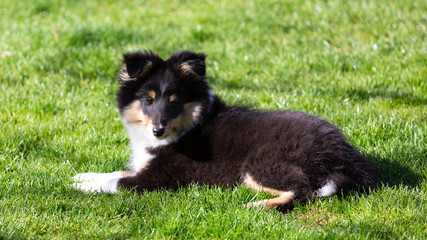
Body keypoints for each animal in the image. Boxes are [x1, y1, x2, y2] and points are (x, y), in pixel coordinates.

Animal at [72, 49, 378, 211]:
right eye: (148, 100)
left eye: (174, 102)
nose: (158, 131)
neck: (188, 125)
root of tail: (347, 157)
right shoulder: (144, 165)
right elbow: (116, 172)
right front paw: (83, 175)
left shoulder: (157, 179)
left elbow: (117, 182)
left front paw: (82, 186)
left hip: (259, 164)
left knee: (303, 191)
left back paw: (255, 206)